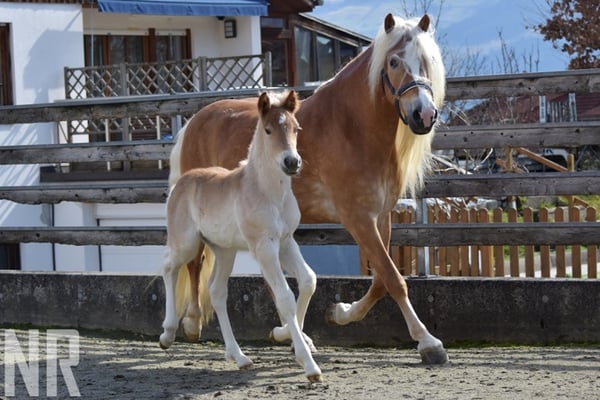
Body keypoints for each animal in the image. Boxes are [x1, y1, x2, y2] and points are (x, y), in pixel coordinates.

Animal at [159, 90, 323, 382]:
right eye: (268, 130)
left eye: (296, 128)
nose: (292, 162)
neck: (268, 192)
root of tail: (182, 181)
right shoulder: (264, 247)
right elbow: (284, 296)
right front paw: (309, 364)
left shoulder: (286, 241)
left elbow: (308, 281)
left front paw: (287, 337)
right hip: (186, 243)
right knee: (169, 267)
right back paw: (167, 334)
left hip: (225, 250)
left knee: (216, 291)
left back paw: (239, 357)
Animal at [169, 13, 448, 364]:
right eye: (394, 61)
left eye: (428, 60)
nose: (423, 114)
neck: (351, 128)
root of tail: (192, 123)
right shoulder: (357, 218)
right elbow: (394, 279)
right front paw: (428, 342)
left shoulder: (381, 216)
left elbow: (380, 281)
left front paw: (339, 312)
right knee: (194, 263)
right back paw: (192, 323)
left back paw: (293, 335)